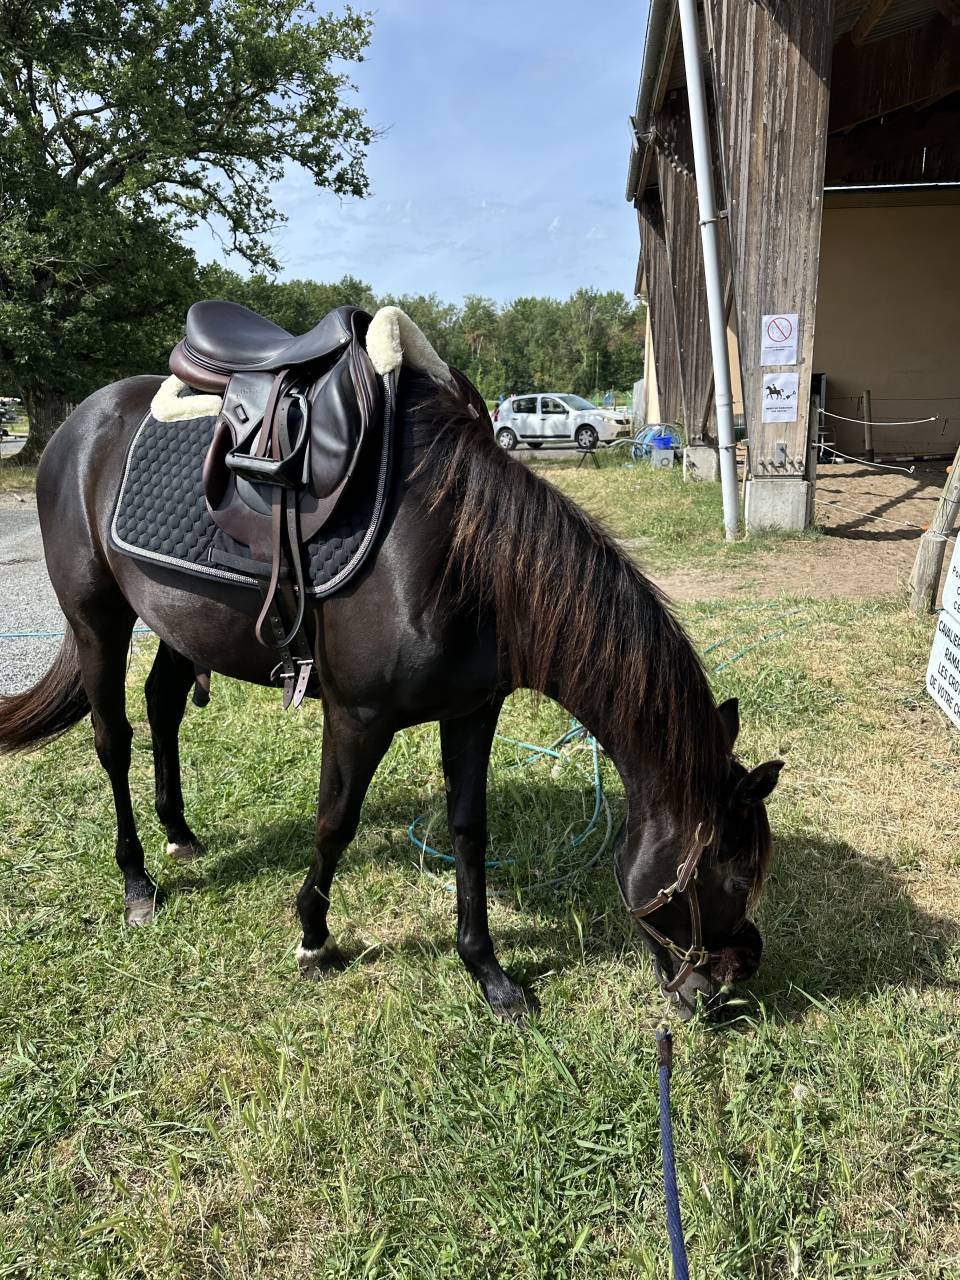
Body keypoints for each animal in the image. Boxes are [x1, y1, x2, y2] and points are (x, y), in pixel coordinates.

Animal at [0, 367, 782, 1019]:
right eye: (731, 872)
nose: (735, 978)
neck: (463, 559)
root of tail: (78, 423)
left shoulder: (472, 713)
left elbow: (468, 831)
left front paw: (489, 974)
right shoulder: (357, 717)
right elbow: (334, 824)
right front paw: (313, 938)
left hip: (178, 621)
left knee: (163, 708)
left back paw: (181, 833)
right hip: (97, 619)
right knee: (113, 741)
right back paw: (137, 884)